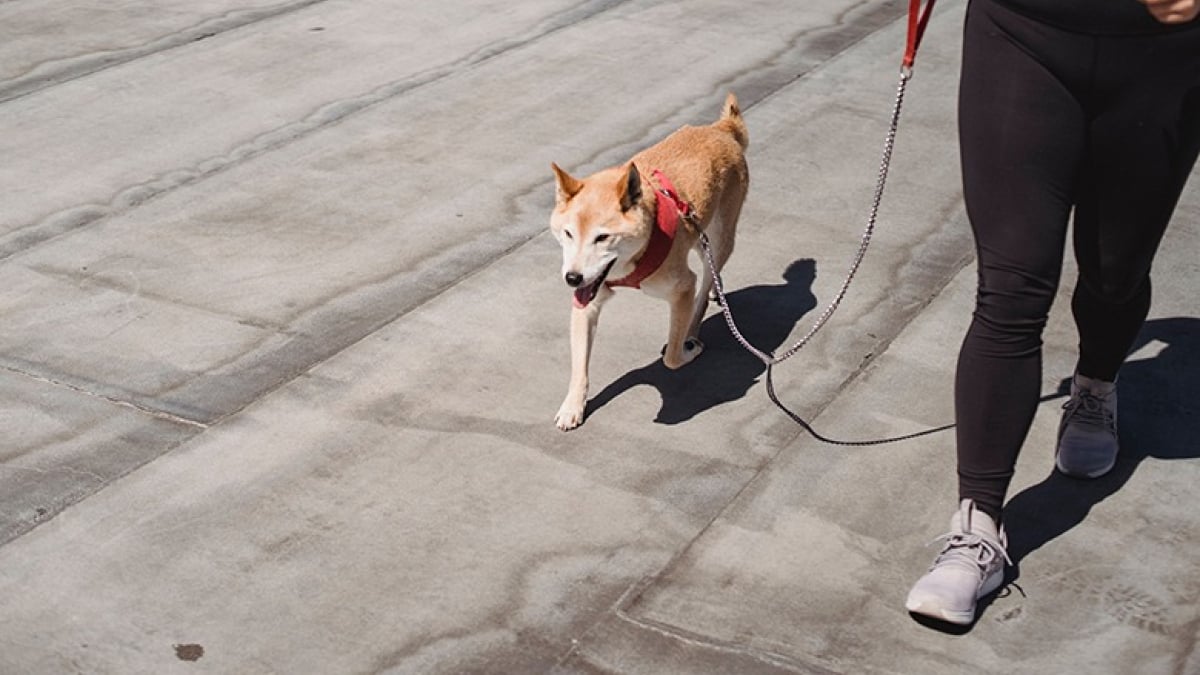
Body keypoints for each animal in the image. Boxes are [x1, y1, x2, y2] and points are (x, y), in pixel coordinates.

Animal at [549, 91, 744, 427]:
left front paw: (686, 349)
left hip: (719, 241)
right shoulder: (588, 300)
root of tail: (721, 129)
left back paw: (693, 330)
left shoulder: (682, 286)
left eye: (602, 238)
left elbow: (671, 359)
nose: (572, 278)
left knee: (704, 287)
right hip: (700, 236)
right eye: (568, 234)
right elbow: (579, 367)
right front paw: (573, 406)